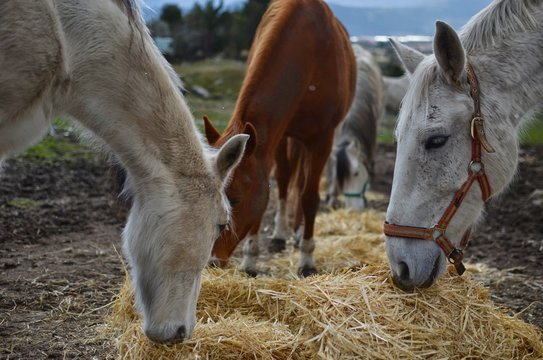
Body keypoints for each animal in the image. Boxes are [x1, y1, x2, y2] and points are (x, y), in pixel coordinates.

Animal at [204, 0, 356, 278]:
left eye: (235, 199)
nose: (212, 261)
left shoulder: (322, 139)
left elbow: (309, 196)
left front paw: (307, 258)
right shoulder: (276, 136)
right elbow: (275, 186)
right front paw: (251, 259)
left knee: (303, 184)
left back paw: (297, 235)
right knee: (288, 180)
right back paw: (281, 234)